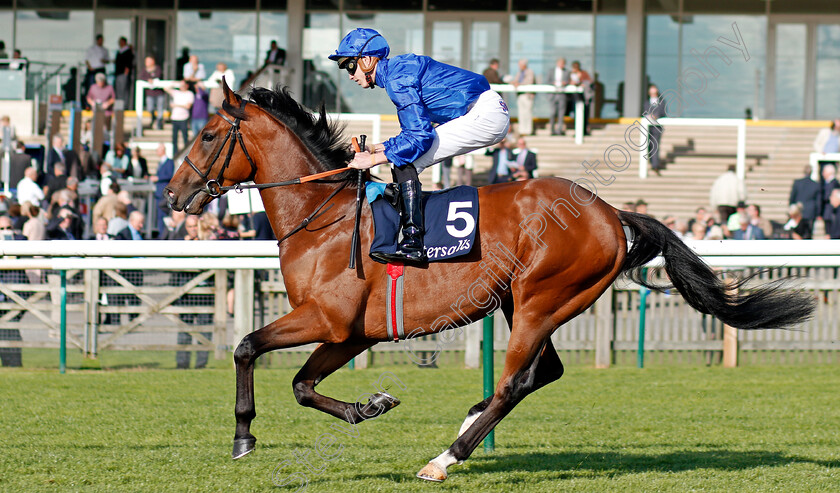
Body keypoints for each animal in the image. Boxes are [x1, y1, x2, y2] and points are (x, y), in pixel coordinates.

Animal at [164, 82, 812, 482]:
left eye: (207, 135)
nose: (172, 195)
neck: (321, 217)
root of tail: (611, 212)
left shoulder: (328, 319)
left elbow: (246, 347)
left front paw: (243, 436)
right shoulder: (352, 333)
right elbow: (301, 385)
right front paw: (370, 404)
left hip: (540, 298)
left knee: (515, 381)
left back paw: (446, 457)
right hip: (525, 303)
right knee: (540, 374)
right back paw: (466, 423)